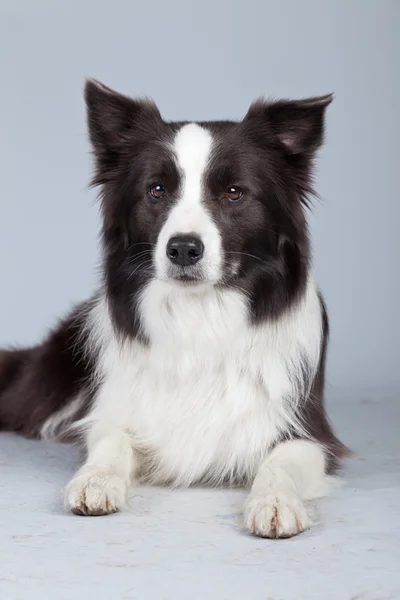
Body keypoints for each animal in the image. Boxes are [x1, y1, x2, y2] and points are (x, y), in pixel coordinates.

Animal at [0, 81, 346, 540]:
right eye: (157, 190)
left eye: (233, 192)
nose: (182, 248)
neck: (200, 316)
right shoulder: (114, 411)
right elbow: (111, 441)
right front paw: (95, 479)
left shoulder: (310, 431)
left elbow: (279, 463)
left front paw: (274, 502)